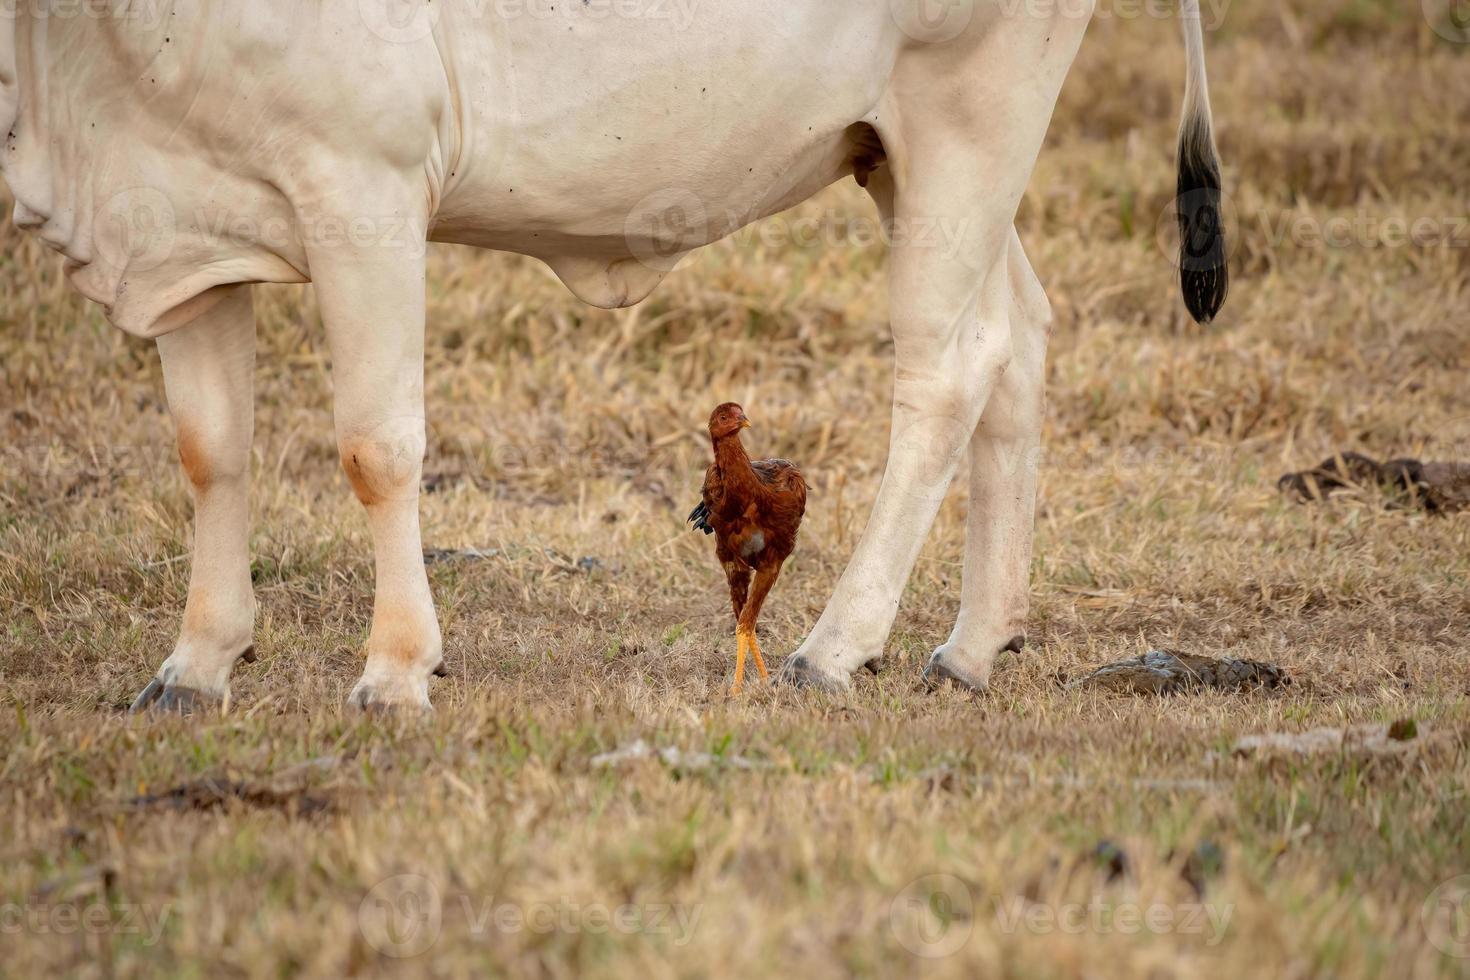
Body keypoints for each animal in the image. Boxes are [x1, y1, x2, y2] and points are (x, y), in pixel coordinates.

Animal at [2, 0, 1228, 708]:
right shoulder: (187, 232)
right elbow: (210, 453)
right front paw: (196, 663)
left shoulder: (363, 188)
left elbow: (375, 450)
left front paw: (396, 666)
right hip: (903, 154)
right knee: (1018, 342)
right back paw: (976, 643)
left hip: (969, 119)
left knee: (953, 367)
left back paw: (836, 645)